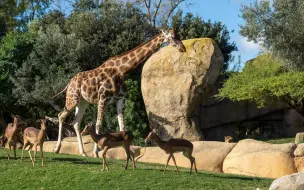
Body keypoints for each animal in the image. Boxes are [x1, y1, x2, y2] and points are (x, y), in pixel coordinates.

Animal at [51, 29, 186, 157]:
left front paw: (127, 153)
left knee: (75, 122)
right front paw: (96, 152)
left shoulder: (120, 99)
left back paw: (83, 152)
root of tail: (70, 83)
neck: (122, 70)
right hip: (72, 98)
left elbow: (122, 126)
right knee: (61, 115)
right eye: (172, 37)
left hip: (83, 102)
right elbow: (98, 124)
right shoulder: (103, 98)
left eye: (178, 35)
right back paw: (57, 149)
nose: (183, 48)